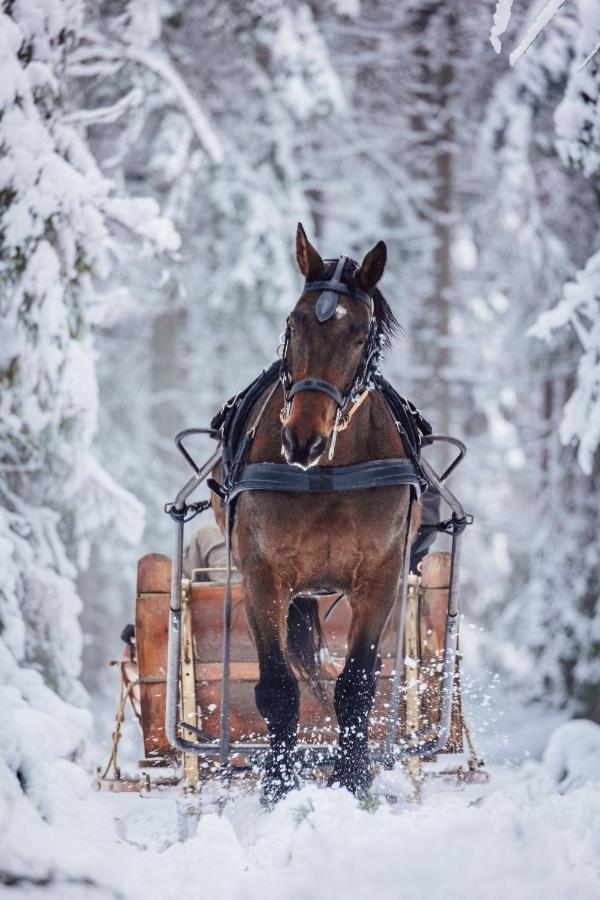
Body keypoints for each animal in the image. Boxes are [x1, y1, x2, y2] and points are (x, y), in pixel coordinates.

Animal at [213, 225, 420, 800]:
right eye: (294, 322)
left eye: (361, 335)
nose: (302, 438)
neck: (327, 472)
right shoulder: (263, 575)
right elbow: (277, 687)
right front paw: (278, 786)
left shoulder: (380, 576)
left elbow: (356, 686)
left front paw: (353, 779)